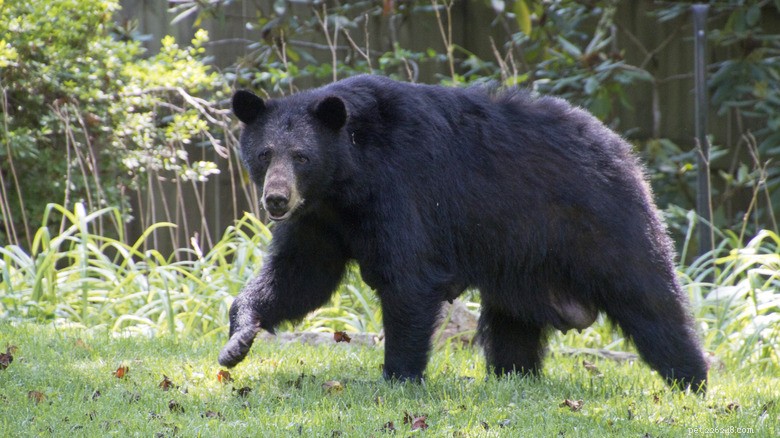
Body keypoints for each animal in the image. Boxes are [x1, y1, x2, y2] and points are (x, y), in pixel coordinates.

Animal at [219, 75, 708, 392]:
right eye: (264, 154)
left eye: (301, 156)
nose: (276, 200)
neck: (346, 180)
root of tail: (624, 151)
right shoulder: (320, 221)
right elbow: (300, 277)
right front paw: (237, 341)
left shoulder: (404, 189)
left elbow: (409, 277)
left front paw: (398, 376)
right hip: (522, 266)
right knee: (512, 328)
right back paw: (514, 376)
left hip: (602, 223)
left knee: (649, 298)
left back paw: (691, 378)